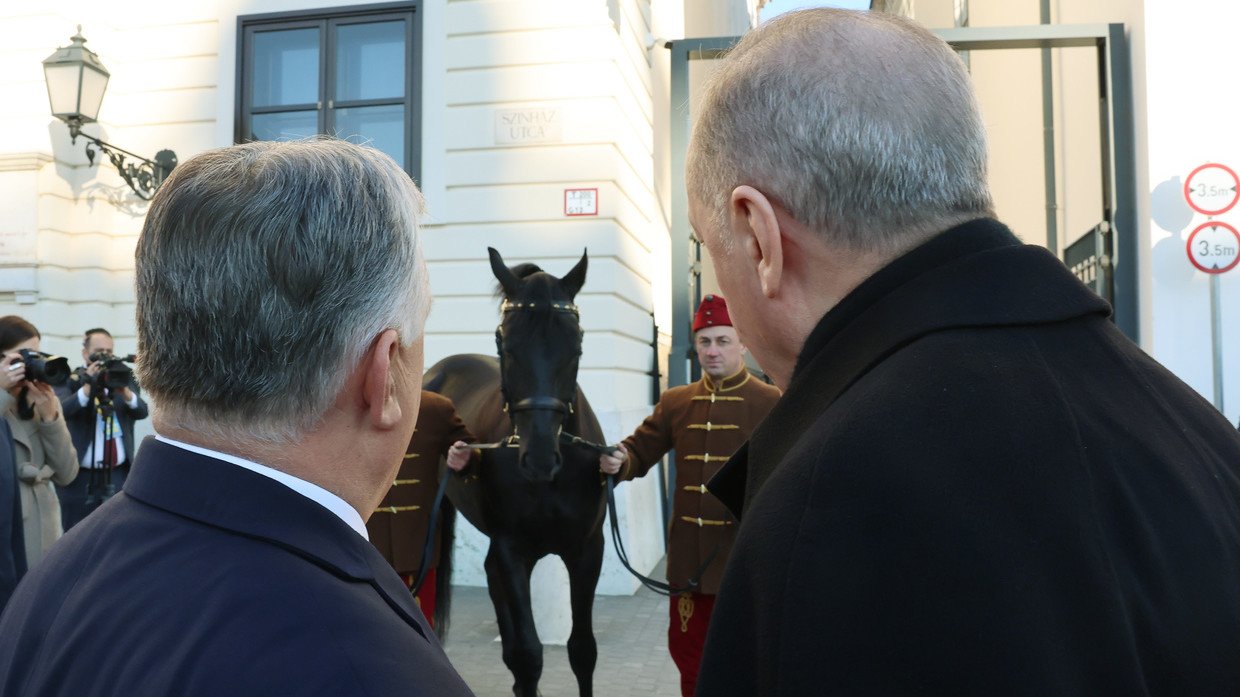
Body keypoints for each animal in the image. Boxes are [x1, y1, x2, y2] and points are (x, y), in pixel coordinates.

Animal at [424, 248, 607, 694]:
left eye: (576, 347)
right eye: (504, 344)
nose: (539, 459)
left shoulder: (587, 551)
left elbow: (582, 650)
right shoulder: (513, 551)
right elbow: (528, 653)